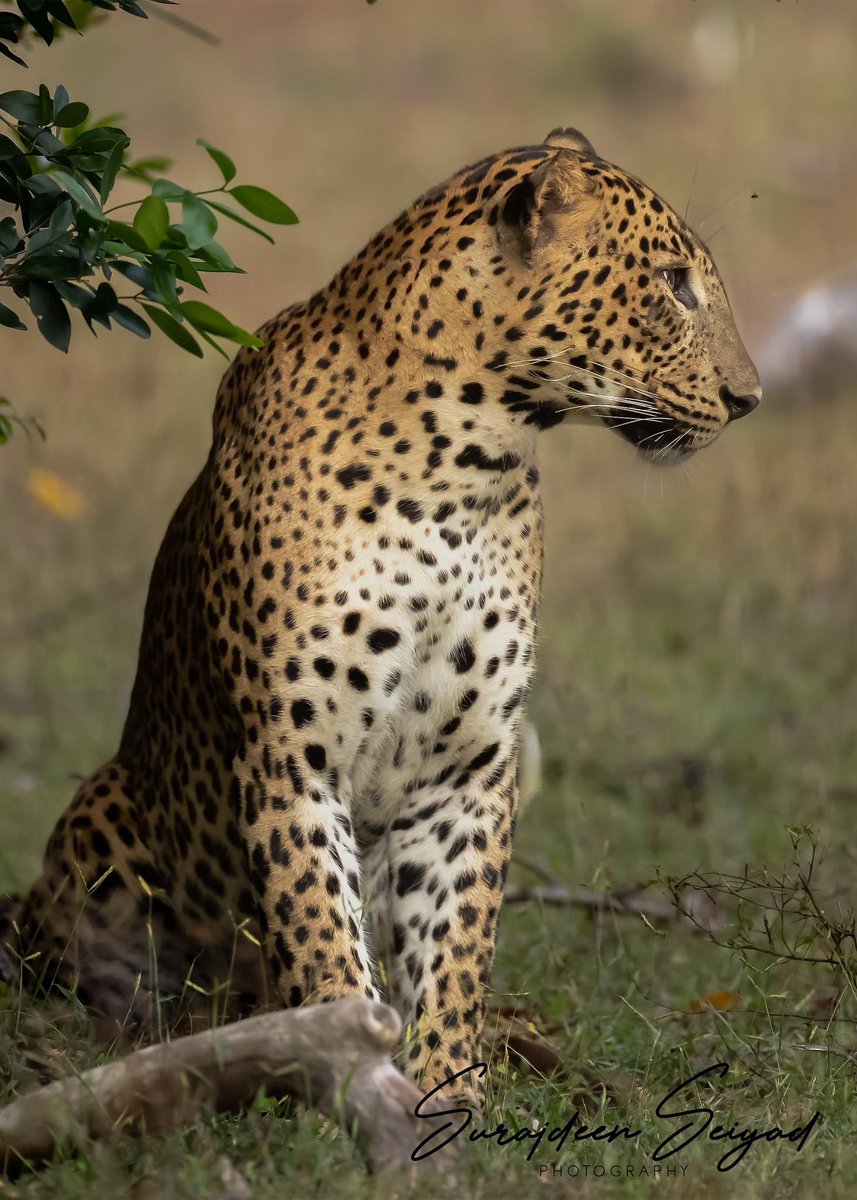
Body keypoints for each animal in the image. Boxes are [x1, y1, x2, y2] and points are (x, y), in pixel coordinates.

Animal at [6, 127, 761, 1104]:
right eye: (673, 283)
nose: (749, 399)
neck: (460, 470)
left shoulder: (467, 768)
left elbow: (454, 941)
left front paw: (450, 1093)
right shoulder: (291, 758)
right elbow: (324, 936)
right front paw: (355, 1081)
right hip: (102, 813)